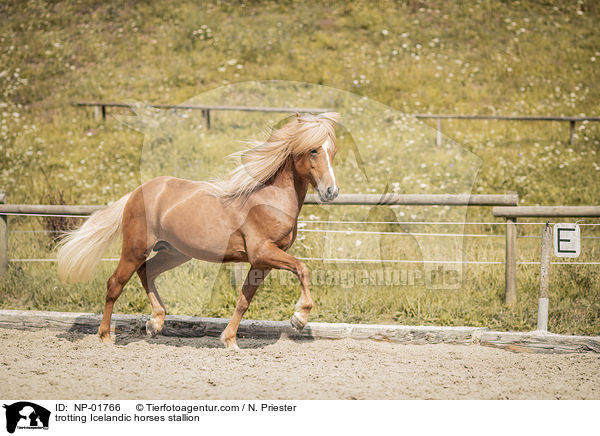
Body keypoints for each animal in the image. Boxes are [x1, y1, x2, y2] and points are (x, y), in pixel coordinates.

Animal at [56, 113, 342, 350]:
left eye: (333, 151)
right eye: (313, 150)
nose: (331, 191)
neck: (270, 200)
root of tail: (137, 192)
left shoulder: (262, 263)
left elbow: (243, 300)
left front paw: (229, 341)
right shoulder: (263, 253)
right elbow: (303, 268)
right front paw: (298, 318)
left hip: (174, 253)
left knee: (147, 272)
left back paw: (155, 323)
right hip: (135, 249)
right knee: (115, 284)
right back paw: (106, 336)